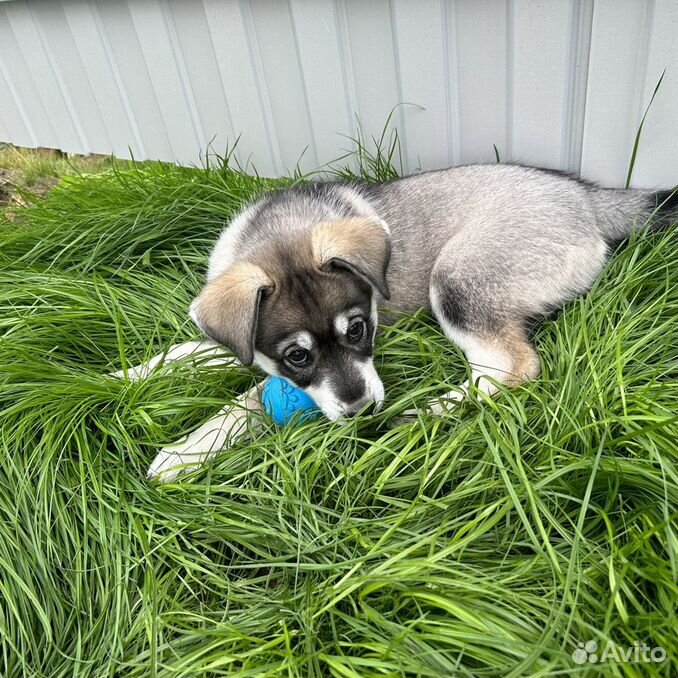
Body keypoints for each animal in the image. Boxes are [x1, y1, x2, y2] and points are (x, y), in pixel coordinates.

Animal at [115, 163, 676, 484]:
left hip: (455, 278)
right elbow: (196, 351)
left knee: (510, 367)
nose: (363, 412)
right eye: (297, 354)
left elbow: (245, 402)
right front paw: (124, 377)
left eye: (358, 329)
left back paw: (426, 413)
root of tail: (590, 200)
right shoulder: (245, 342)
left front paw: (184, 452)